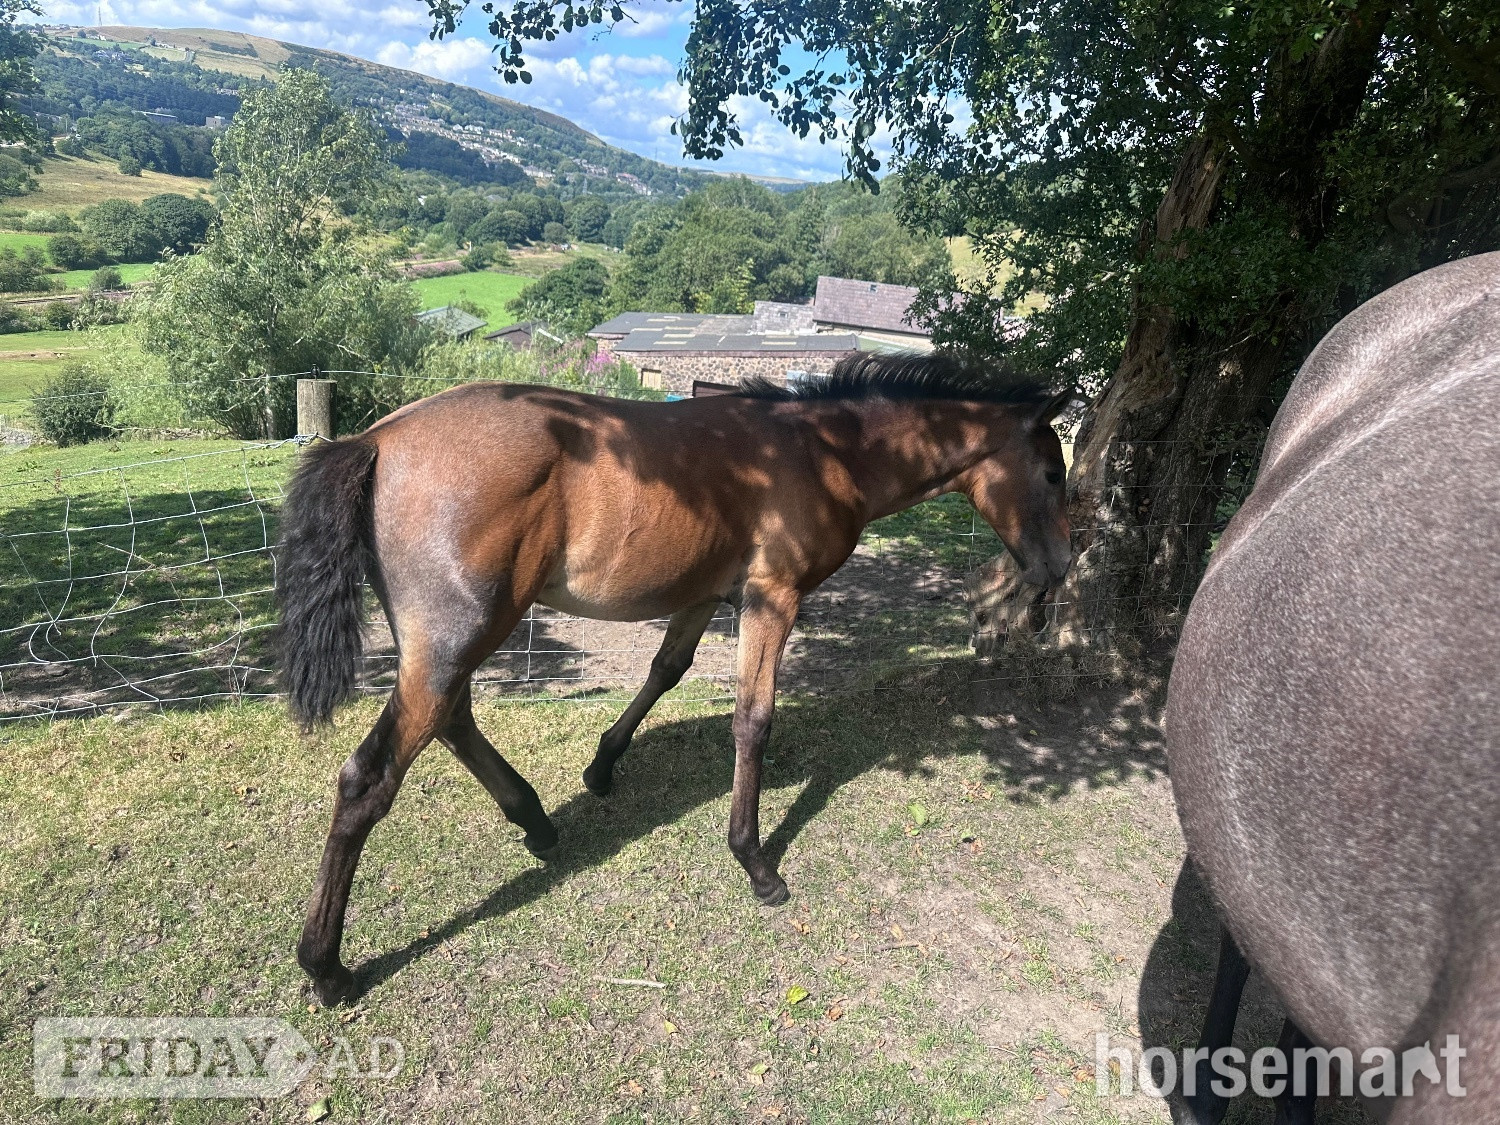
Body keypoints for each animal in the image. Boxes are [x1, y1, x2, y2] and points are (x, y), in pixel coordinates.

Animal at [275, 351, 1074, 1005]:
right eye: (1053, 471)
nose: (1058, 572)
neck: (822, 452)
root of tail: (376, 439)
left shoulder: (704, 594)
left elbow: (667, 669)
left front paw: (603, 765)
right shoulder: (771, 596)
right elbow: (752, 719)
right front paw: (755, 861)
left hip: (453, 642)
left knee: (452, 720)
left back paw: (536, 818)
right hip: (457, 637)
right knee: (371, 777)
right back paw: (327, 966)